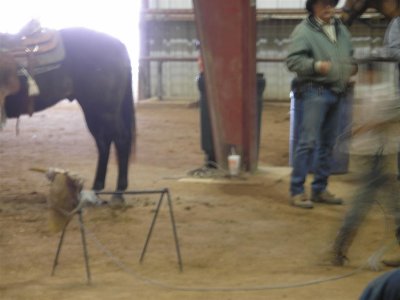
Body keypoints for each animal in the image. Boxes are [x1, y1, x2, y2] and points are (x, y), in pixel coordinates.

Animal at [0, 28, 136, 192]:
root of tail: (118, 45)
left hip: (106, 111)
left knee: (121, 139)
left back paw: (119, 192)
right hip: (93, 110)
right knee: (103, 142)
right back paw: (97, 187)